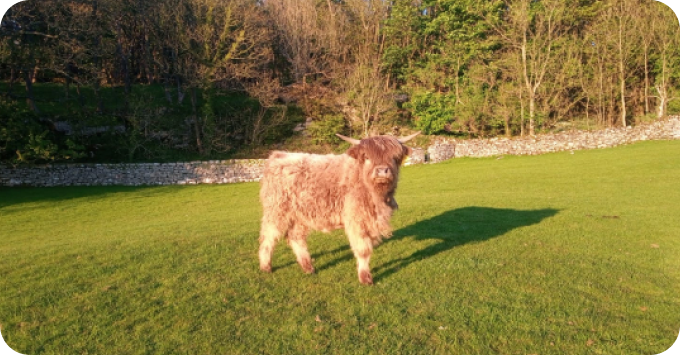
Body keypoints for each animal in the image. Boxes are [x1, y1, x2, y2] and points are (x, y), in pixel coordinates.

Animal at [260, 132, 420, 286]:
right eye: (366, 156)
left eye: (394, 157)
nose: (382, 171)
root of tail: (278, 155)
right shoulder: (357, 219)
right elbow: (363, 249)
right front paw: (365, 278)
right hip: (276, 211)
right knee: (268, 237)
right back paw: (265, 266)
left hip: (300, 214)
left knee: (295, 237)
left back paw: (308, 267)